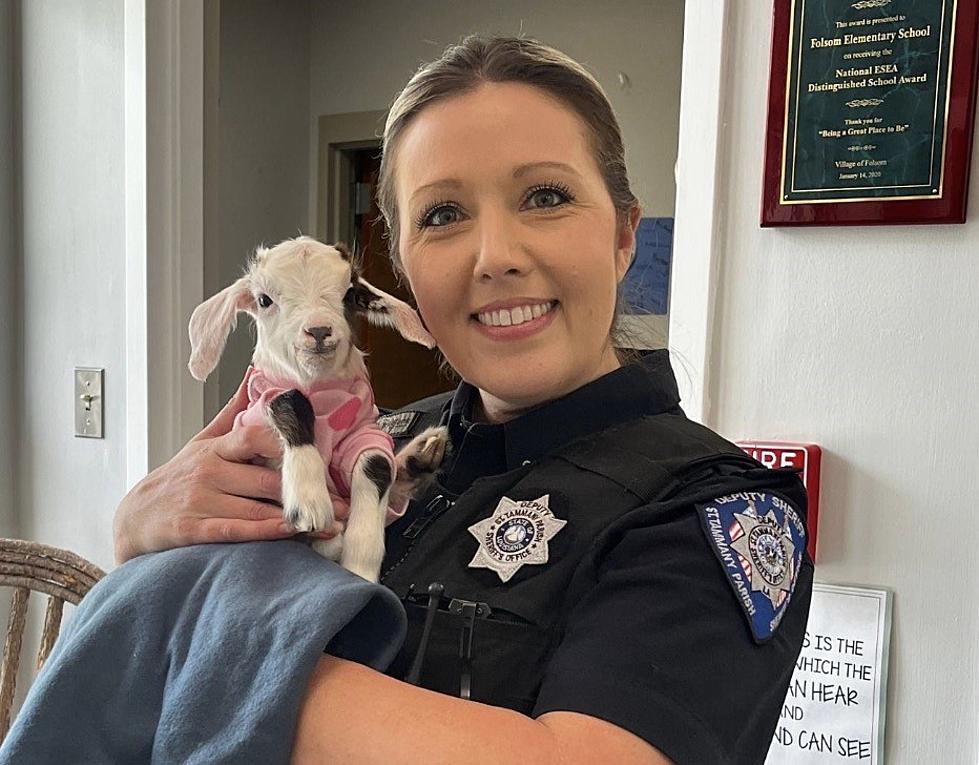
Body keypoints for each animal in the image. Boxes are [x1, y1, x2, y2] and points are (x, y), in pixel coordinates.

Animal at [188, 234, 448, 580]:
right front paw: (309, 505)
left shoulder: (364, 432)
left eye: (350, 294)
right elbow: (290, 400)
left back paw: (422, 454)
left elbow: (377, 464)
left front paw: (360, 568)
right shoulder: (257, 407)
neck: (318, 384)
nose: (319, 330)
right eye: (264, 300)